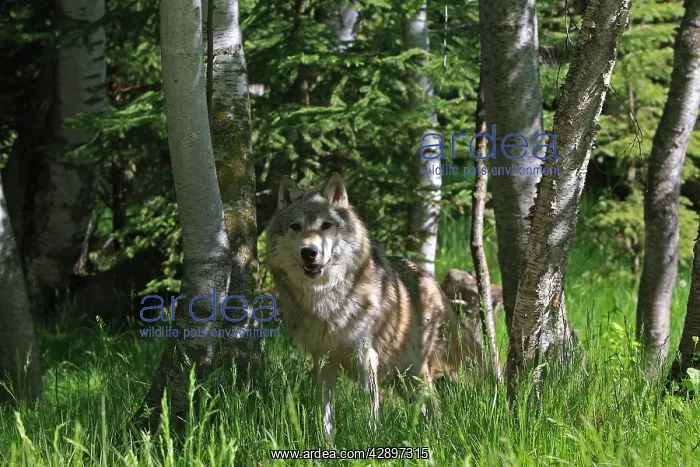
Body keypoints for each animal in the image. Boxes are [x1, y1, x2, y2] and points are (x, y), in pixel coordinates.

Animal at [265, 173, 482, 438]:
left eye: (326, 225)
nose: (309, 252)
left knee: (435, 407)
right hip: (403, 381)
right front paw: (327, 442)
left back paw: (437, 438)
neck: (326, 300)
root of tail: (430, 279)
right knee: (423, 409)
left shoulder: (366, 357)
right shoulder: (322, 361)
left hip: (417, 373)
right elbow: (326, 413)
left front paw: (371, 437)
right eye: (296, 227)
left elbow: (370, 408)